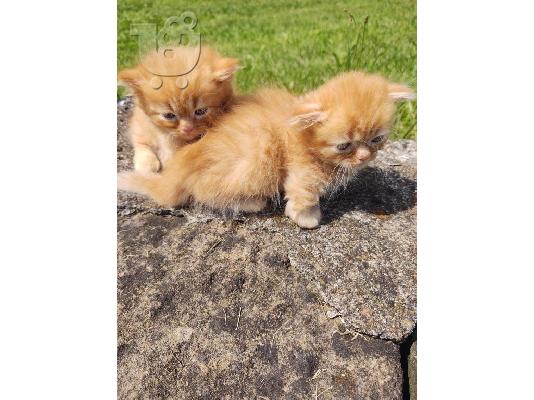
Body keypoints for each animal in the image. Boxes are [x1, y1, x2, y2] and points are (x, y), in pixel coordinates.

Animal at [119, 72, 416, 228]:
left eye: (377, 140)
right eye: (344, 146)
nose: (365, 157)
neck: (303, 134)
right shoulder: (301, 169)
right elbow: (303, 192)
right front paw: (306, 218)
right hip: (259, 156)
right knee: (203, 193)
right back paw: (252, 202)